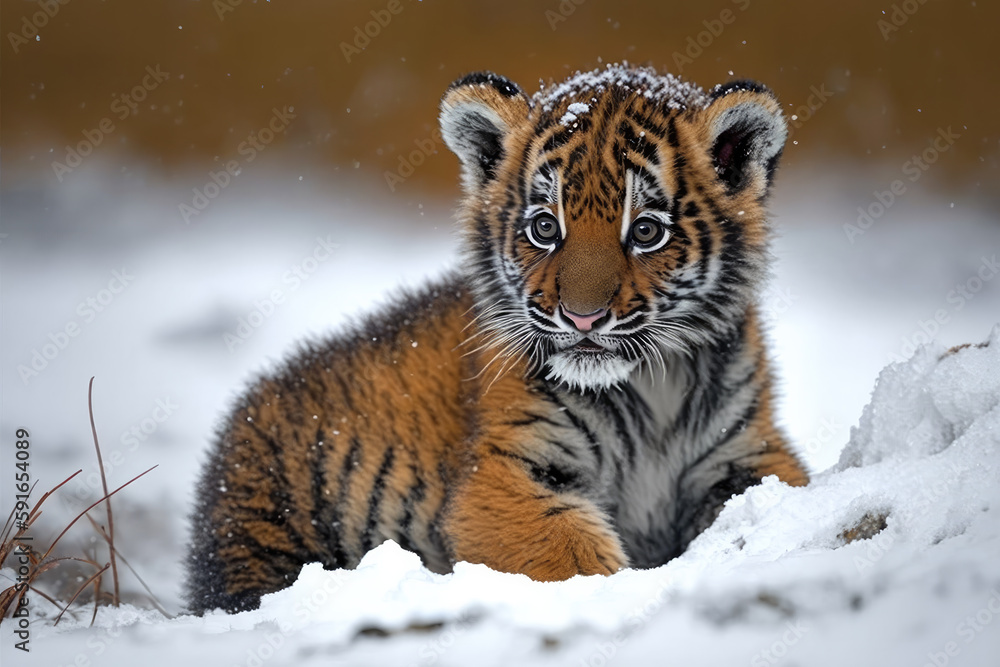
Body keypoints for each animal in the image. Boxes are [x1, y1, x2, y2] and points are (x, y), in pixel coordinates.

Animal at [185, 63, 809, 614]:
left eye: (647, 231)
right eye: (545, 227)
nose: (582, 319)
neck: (650, 391)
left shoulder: (748, 450)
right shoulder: (503, 472)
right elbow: (571, 553)